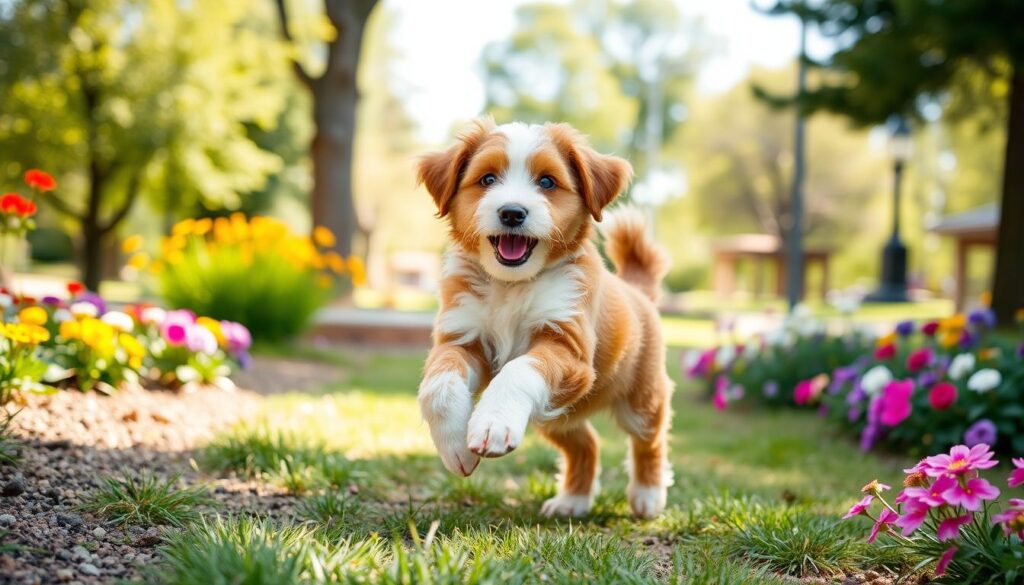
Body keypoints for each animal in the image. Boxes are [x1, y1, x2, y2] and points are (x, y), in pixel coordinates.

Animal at [413, 117, 671, 516]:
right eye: (488, 179)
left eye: (547, 182)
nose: (512, 212)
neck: (512, 286)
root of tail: (638, 292)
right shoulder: (462, 338)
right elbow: (438, 385)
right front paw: (454, 445)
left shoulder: (567, 346)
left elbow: (519, 369)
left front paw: (492, 422)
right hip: (556, 415)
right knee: (586, 442)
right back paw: (572, 500)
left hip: (641, 397)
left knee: (649, 438)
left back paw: (648, 495)